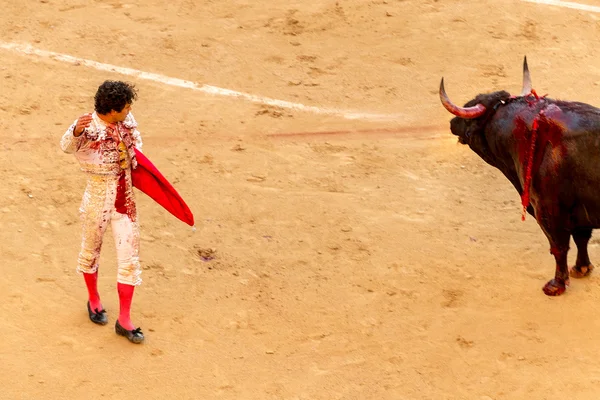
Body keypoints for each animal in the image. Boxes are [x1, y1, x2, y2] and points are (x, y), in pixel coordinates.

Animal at [438, 56, 600, 296]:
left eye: (468, 121)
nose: (451, 123)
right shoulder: (578, 211)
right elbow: (581, 239)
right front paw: (581, 268)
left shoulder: (547, 209)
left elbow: (559, 247)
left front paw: (556, 285)